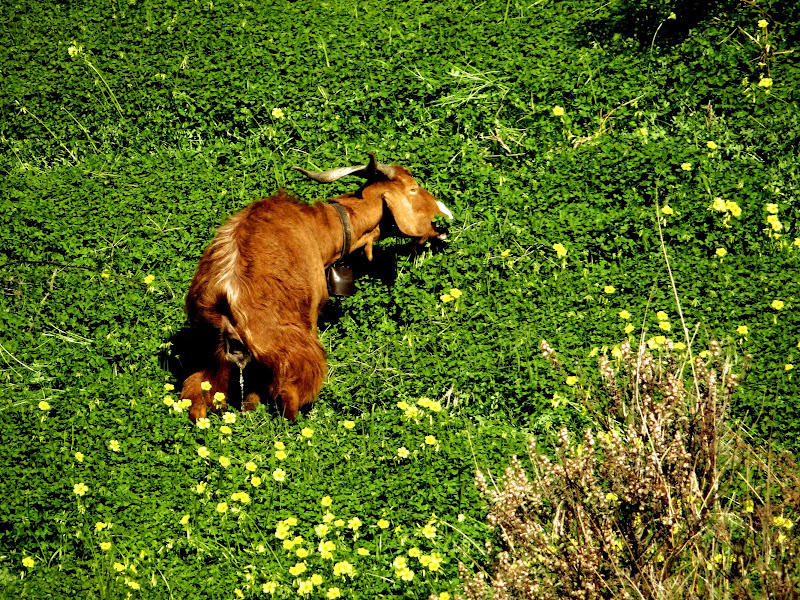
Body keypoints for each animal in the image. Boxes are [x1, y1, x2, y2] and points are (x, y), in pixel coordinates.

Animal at [183, 152, 456, 420]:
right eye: (413, 189)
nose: (444, 219)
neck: (321, 229)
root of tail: (225, 295)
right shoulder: (310, 314)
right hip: (291, 350)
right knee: (288, 395)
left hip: (212, 357)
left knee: (197, 390)